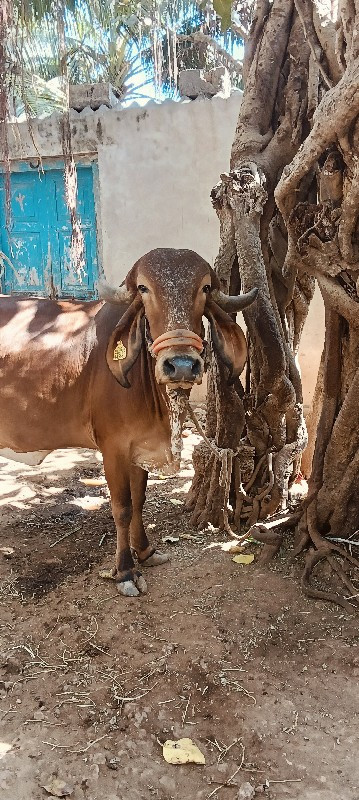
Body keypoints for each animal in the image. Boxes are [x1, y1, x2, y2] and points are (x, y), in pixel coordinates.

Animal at [0, 248, 258, 592]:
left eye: (204, 288)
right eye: (144, 289)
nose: (181, 365)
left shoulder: (140, 447)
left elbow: (139, 501)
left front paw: (145, 551)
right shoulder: (113, 448)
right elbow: (122, 507)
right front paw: (124, 570)